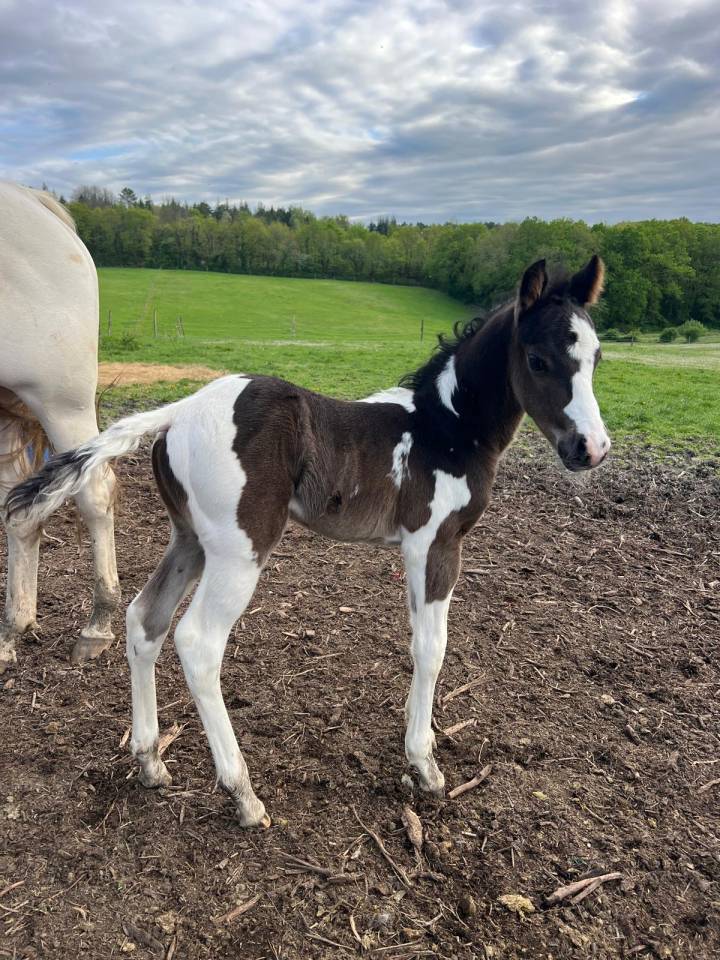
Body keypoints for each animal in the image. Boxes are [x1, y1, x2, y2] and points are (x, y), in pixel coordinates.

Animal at [5, 255, 610, 828]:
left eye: (596, 358)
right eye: (538, 359)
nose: (592, 448)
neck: (447, 428)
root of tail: (181, 410)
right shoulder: (433, 545)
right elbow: (430, 648)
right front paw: (424, 765)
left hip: (190, 540)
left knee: (144, 619)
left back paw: (151, 761)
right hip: (240, 551)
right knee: (198, 642)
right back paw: (242, 794)